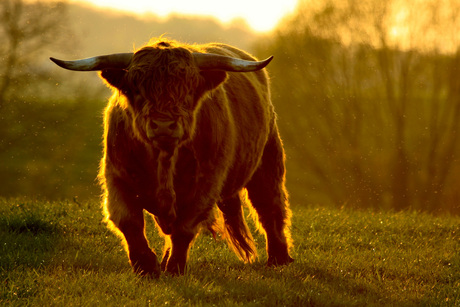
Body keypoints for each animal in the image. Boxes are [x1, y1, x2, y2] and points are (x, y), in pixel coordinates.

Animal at [50, 38, 292, 276]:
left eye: (188, 88)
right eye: (136, 87)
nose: (164, 125)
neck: (164, 161)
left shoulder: (205, 185)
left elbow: (184, 229)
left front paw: (175, 267)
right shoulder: (117, 177)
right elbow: (129, 221)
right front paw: (146, 265)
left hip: (268, 162)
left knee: (270, 208)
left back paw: (279, 259)